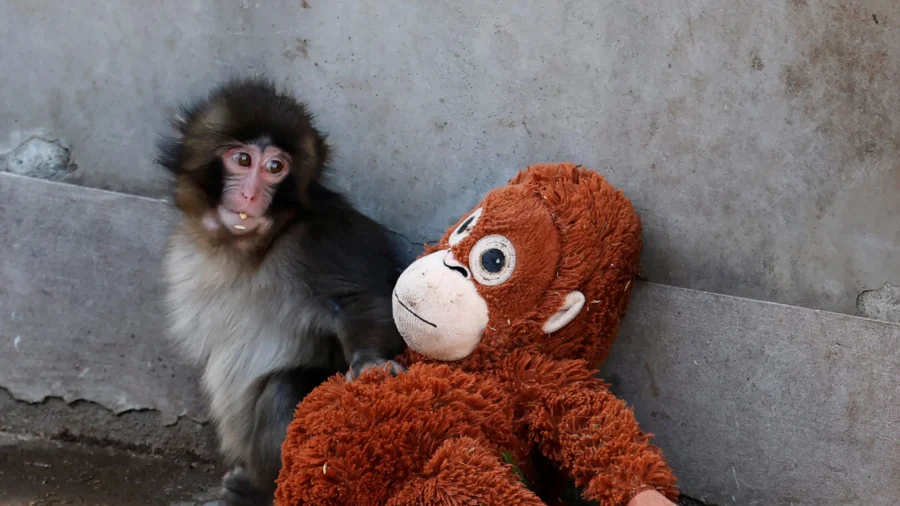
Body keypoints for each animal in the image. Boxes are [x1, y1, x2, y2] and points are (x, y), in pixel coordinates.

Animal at [155, 78, 407, 506]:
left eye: (275, 167)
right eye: (242, 160)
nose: (251, 195)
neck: (252, 247)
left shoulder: (322, 237)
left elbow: (361, 301)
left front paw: (372, 363)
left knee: (285, 390)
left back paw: (259, 491)